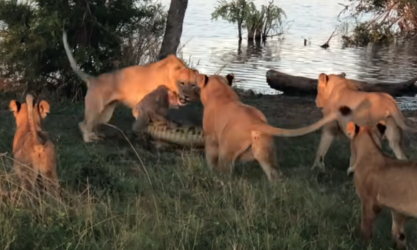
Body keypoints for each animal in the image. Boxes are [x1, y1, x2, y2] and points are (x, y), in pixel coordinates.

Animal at [62, 31, 201, 143]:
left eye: (193, 85)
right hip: (95, 109)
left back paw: (95, 135)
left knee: (86, 124)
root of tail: (93, 79)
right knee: (84, 125)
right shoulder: (149, 103)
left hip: (105, 114)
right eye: (182, 83)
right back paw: (89, 140)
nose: (186, 97)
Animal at [193, 73, 356, 182]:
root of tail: (255, 121)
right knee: (275, 175)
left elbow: (210, 159)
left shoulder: (211, 139)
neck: (221, 92)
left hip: (227, 152)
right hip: (266, 154)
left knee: (224, 174)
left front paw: (208, 170)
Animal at [342, 120, 416, 248]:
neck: (371, 150)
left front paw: (363, 245)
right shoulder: (397, 211)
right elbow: (398, 235)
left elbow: (366, 229)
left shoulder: (370, 203)